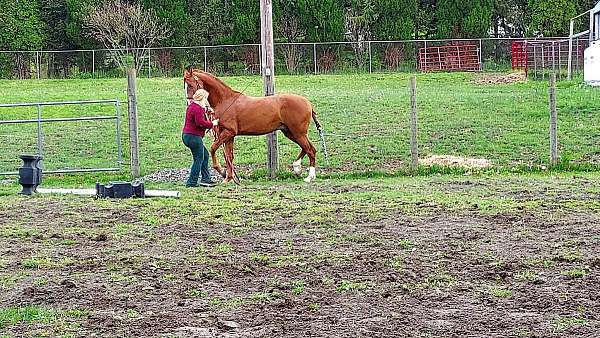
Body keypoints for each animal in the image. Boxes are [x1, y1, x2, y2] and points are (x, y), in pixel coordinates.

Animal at [183, 68, 326, 184]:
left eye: (190, 84)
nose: (190, 104)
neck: (225, 100)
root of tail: (308, 103)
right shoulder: (229, 136)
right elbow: (229, 156)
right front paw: (229, 178)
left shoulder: (228, 133)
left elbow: (213, 148)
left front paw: (222, 172)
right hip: (290, 132)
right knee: (308, 148)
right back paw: (297, 169)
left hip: (298, 133)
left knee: (310, 150)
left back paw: (309, 177)